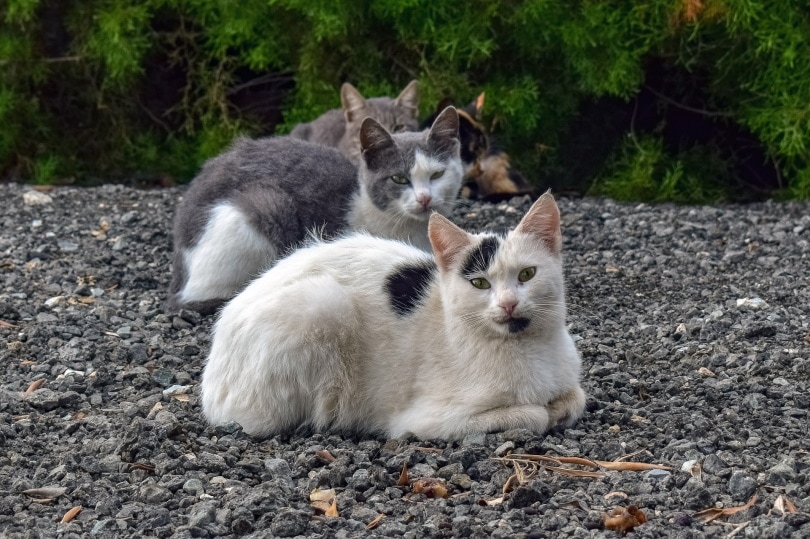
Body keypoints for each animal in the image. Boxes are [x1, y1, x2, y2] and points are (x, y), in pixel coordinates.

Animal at [199, 192, 584, 440]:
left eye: (527, 275)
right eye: (479, 283)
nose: (508, 304)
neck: (528, 349)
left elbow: (576, 397)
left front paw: (561, 405)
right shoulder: (427, 419)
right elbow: (532, 414)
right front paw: (544, 412)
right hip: (320, 304)